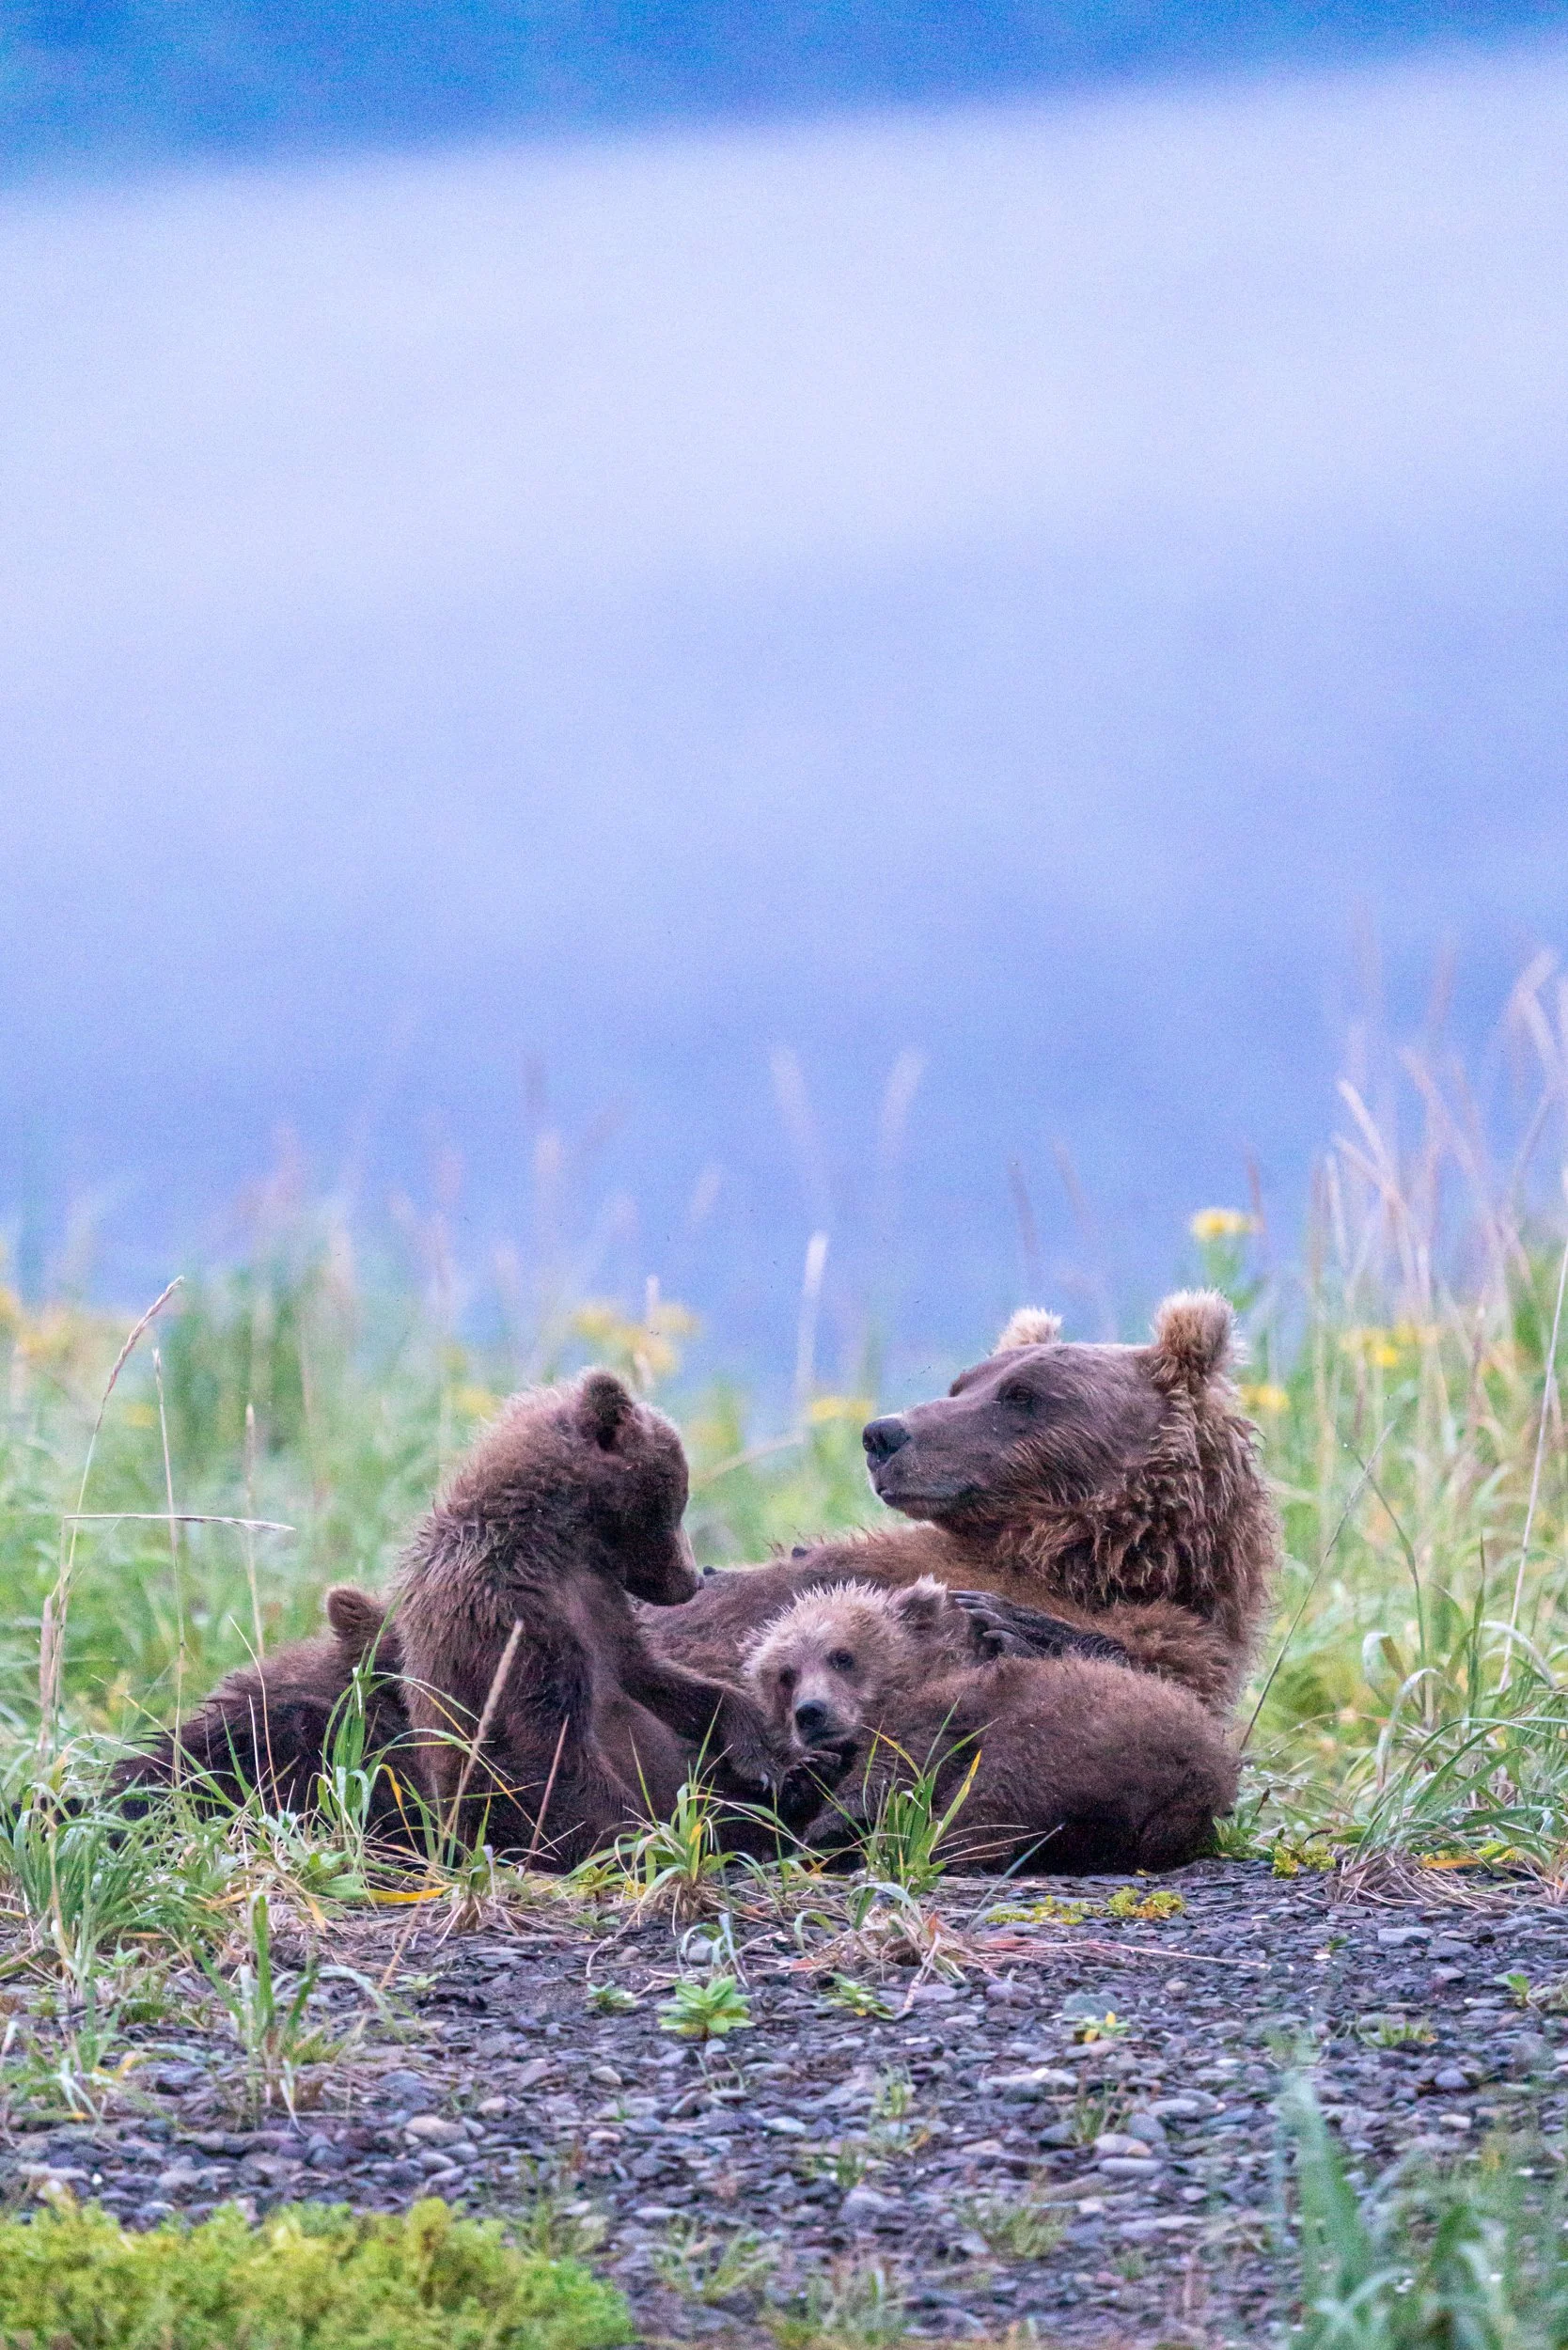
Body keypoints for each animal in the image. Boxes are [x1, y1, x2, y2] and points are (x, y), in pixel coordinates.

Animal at [392, 1369, 801, 1867]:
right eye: (681, 1497)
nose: (693, 1580)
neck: (560, 1543)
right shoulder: (511, 1619)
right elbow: (544, 1753)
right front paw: (646, 1839)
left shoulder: (602, 1603)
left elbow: (647, 1674)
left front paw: (758, 1755)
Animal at [743, 1577, 1239, 1874]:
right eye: (785, 1674)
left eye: (841, 1656)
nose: (810, 1712)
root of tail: (1196, 1787)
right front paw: (806, 1777)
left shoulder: (942, 1709)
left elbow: (895, 1770)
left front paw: (830, 1825)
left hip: (1079, 1733)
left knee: (992, 1795)